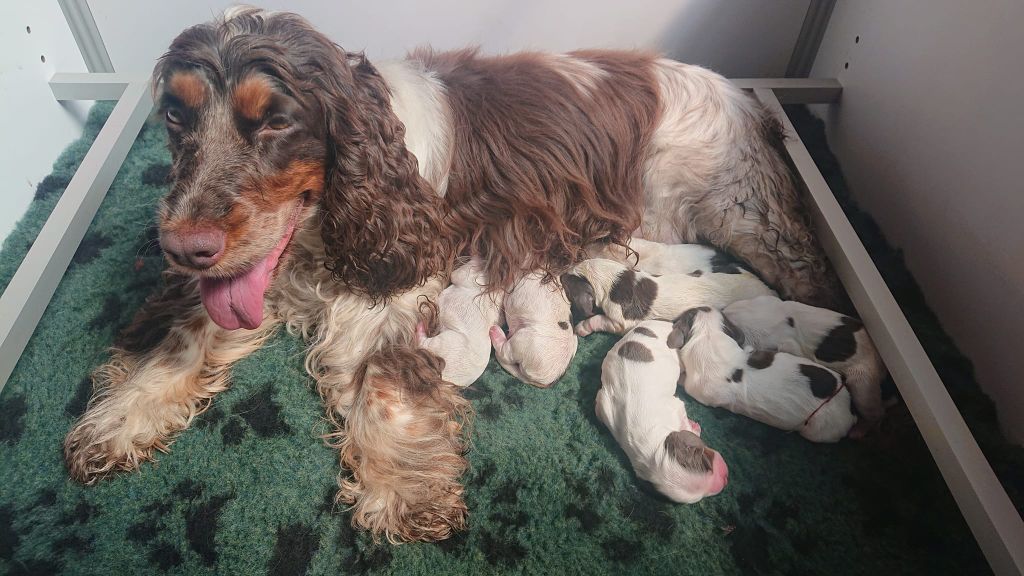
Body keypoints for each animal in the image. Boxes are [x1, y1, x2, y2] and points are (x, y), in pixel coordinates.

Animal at [561, 256, 774, 334]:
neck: (615, 278)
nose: (560, 274)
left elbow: (600, 319)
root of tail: (768, 289)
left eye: (568, 284)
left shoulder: (620, 321)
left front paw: (582, 327)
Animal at [598, 317, 733, 502]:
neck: (653, 446)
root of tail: (668, 323)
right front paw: (693, 427)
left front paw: (692, 427)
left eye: (706, 464)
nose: (724, 479)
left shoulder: (675, 407)